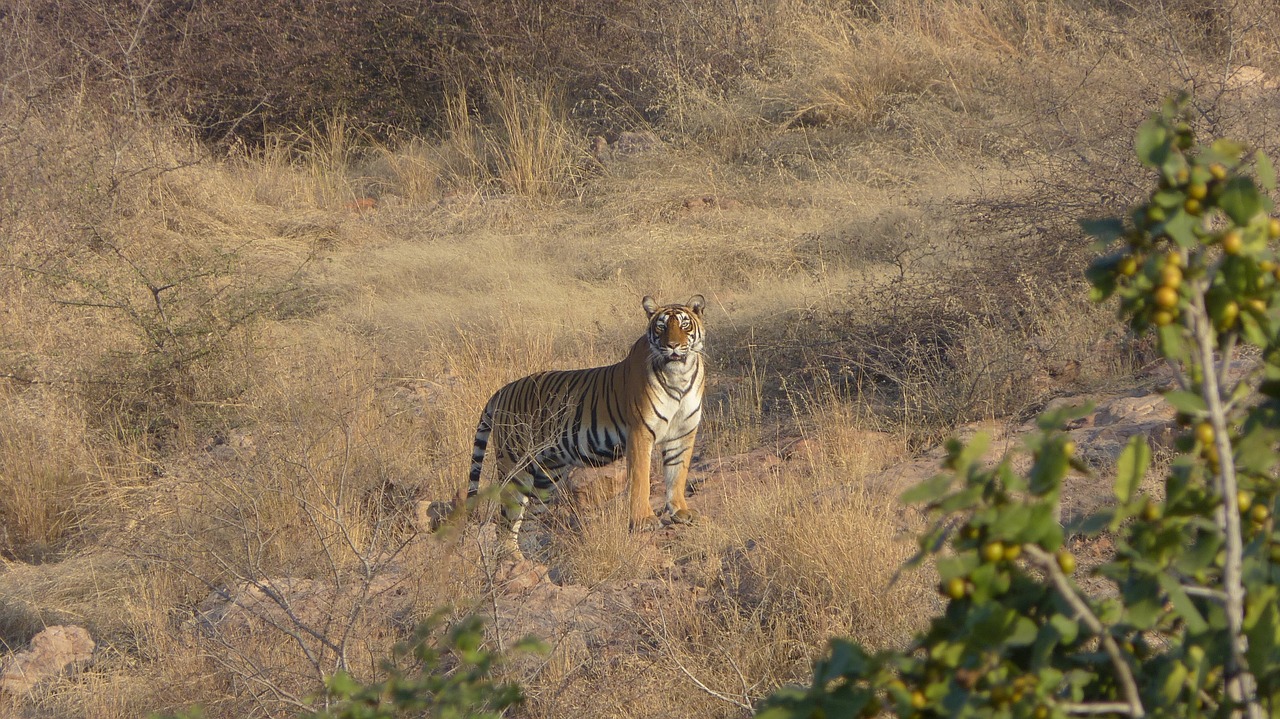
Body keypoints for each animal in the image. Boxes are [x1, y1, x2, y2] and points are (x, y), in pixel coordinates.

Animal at [460, 292, 706, 555]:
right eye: (661, 327)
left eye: (684, 325)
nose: (672, 345)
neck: (679, 375)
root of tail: (503, 390)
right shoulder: (640, 433)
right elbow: (641, 480)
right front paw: (644, 520)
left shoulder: (683, 433)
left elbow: (677, 473)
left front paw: (680, 511)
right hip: (515, 466)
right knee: (505, 523)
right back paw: (512, 560)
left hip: (546, 474)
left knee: (527, 521)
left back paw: (528, 556)